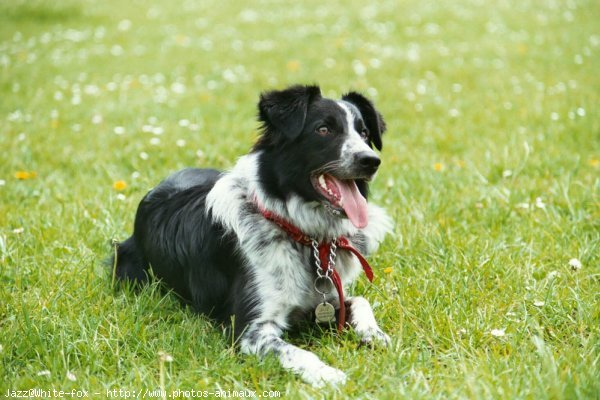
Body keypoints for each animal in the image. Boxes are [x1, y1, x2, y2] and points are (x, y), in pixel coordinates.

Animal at [112, 83, 394, 384]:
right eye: (323, 129)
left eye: (364, 133)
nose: (371, 160)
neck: (301, 234)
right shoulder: (251, 330)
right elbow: (298, 352)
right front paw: (328, 375)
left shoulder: (328, 299)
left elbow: (361, 301)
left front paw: (375, 334)